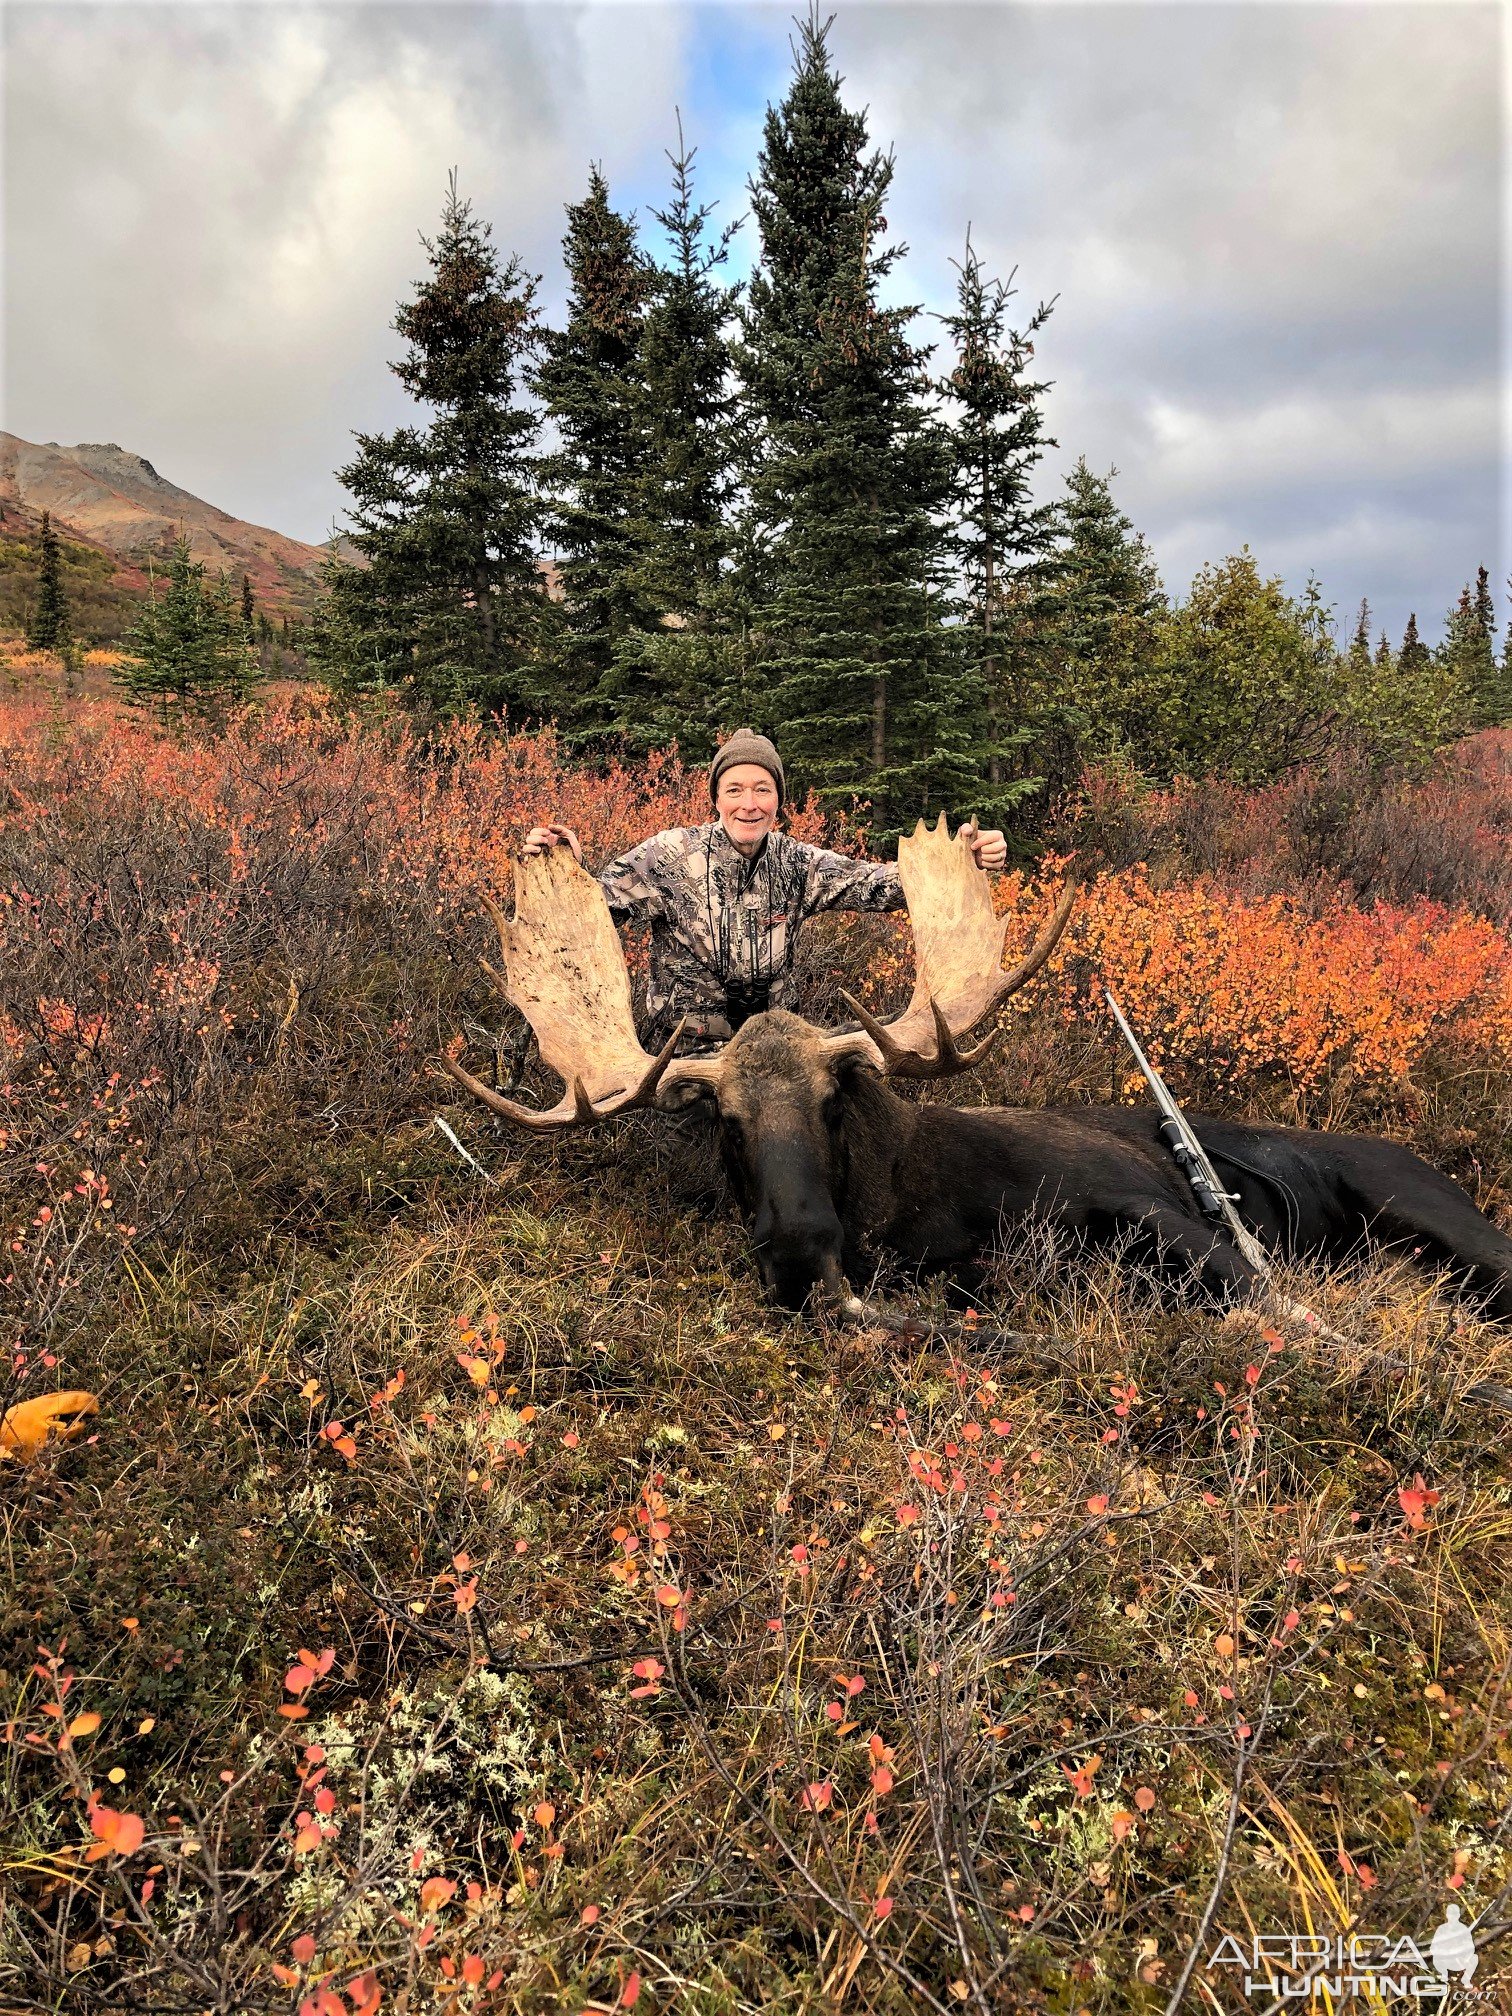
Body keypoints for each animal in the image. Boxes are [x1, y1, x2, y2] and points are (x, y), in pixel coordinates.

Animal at [437, 818, 1512, 1322]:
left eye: (834, 1101)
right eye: (725, 1123)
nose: (798, 1254)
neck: (923, 1209)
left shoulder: (1147, 1202)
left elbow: (1271, 1300)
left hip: (1435, 1211)